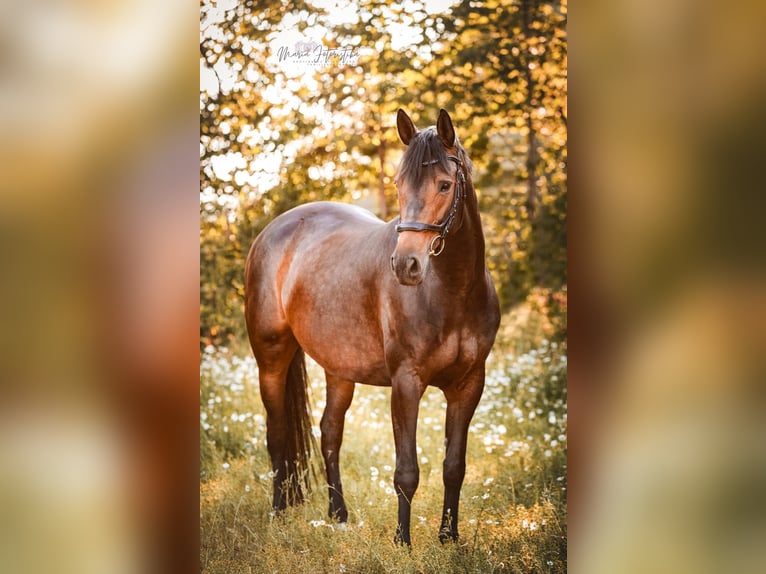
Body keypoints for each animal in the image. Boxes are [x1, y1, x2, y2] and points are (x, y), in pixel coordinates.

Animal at [243, 107, 500, 544]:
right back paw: (279, 511)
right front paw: (402, 541)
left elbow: (454, 466)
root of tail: (273, 231)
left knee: (329, 432)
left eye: (445, 185)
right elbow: (406, 471)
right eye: (398, 184)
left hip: (339, 369)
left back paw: (338, 514)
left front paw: (448, 537)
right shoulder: (406, 383)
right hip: (272, 358)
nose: (405, 265)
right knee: (277, 435)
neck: (453, 291)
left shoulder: (469, 385)